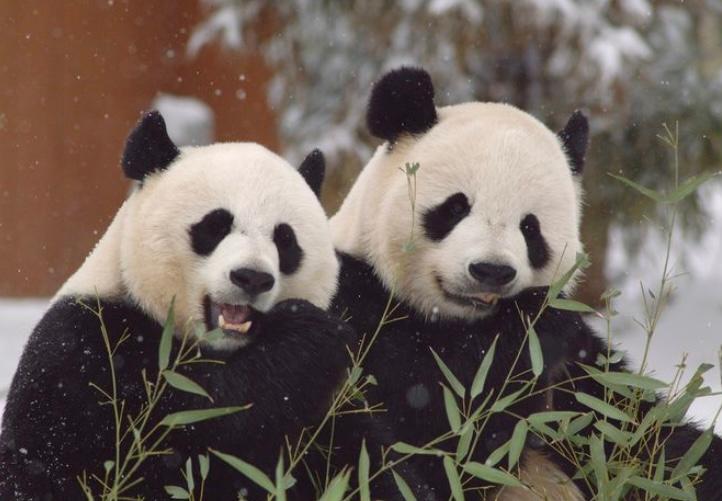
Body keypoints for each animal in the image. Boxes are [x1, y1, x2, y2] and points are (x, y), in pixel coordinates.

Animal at [0, 111, 353, 500]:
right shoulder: (85, 348)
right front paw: (308, 336)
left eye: (285, 239)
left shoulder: (336, 410)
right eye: (215, 226)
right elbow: (186, 428)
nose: (252, 278)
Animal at [329, 67, 722, 500]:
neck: (458, 323)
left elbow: (648, 440)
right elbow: (441, 434)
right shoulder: (360, 311)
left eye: (530, 229)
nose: (491, 271)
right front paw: (530, 328)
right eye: (455, 208)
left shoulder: (583, 380)